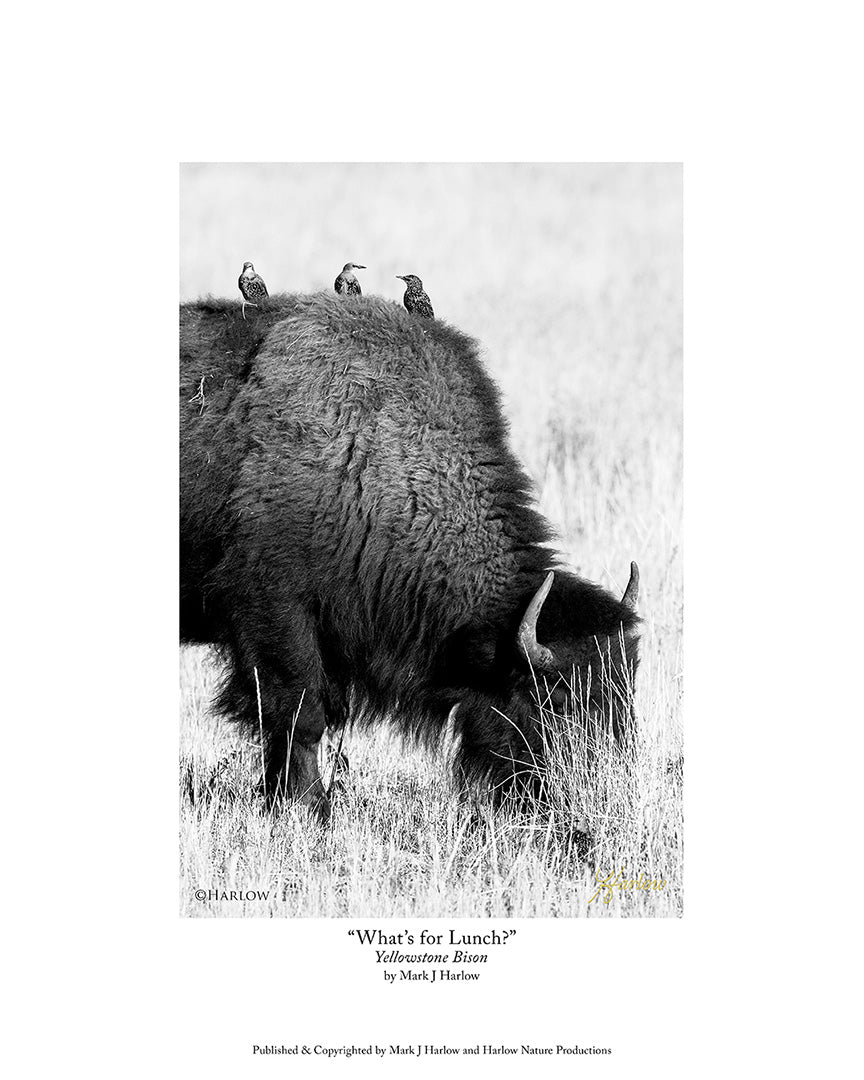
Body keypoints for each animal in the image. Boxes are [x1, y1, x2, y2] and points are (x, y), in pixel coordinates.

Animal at [180, 293, 640, 820]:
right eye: (559, 698)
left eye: (629, 685)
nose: (606, 787)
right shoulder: (273, 613)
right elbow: (300, 714)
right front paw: (309, 805)